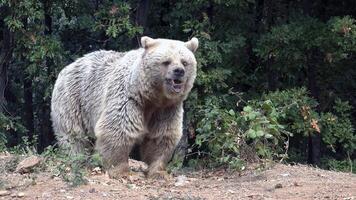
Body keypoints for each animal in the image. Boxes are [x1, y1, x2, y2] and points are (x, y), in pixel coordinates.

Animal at [50, 36, 197, 178]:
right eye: (166, 61)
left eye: (184, 62)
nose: (179, 71)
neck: (151, 97)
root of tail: (68, 67)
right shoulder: (128, 98)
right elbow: (118, 129)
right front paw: (122, 171)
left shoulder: (166, 108)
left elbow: (161, 136)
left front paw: (158, 172)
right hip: (74, 99)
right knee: (74, 135)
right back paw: (79, 159)